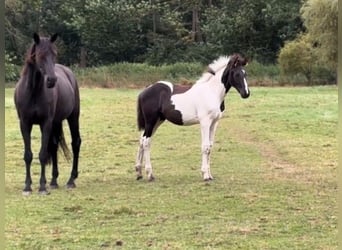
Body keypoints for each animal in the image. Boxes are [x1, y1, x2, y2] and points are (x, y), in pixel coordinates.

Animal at [15, 32, 82, 194]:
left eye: (55, 54)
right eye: (40, 55)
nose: (52, 80)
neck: (33, 91)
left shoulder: (45, 123)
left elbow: (43, 154)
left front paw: (42, 187)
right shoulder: (25, 123)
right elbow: (28, 155)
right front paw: (28, 186)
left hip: (73, 117)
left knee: (75, 142)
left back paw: (71, 180)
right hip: (56, 122)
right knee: (54, 145)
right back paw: (53, 181)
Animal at [135, 53, 250, 182]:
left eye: (245, 74)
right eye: (237, 74)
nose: (246, 94)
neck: (212, 92)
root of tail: (144, 91)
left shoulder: (214, 123)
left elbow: (210, 146)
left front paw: (210, 175)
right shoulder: (205, 122)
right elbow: (205, 147)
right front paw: (205, 175)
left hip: (157, 121)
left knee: (142, 140)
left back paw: (139, 173)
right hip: (151, 121)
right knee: (146, 142)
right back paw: (150, 174)